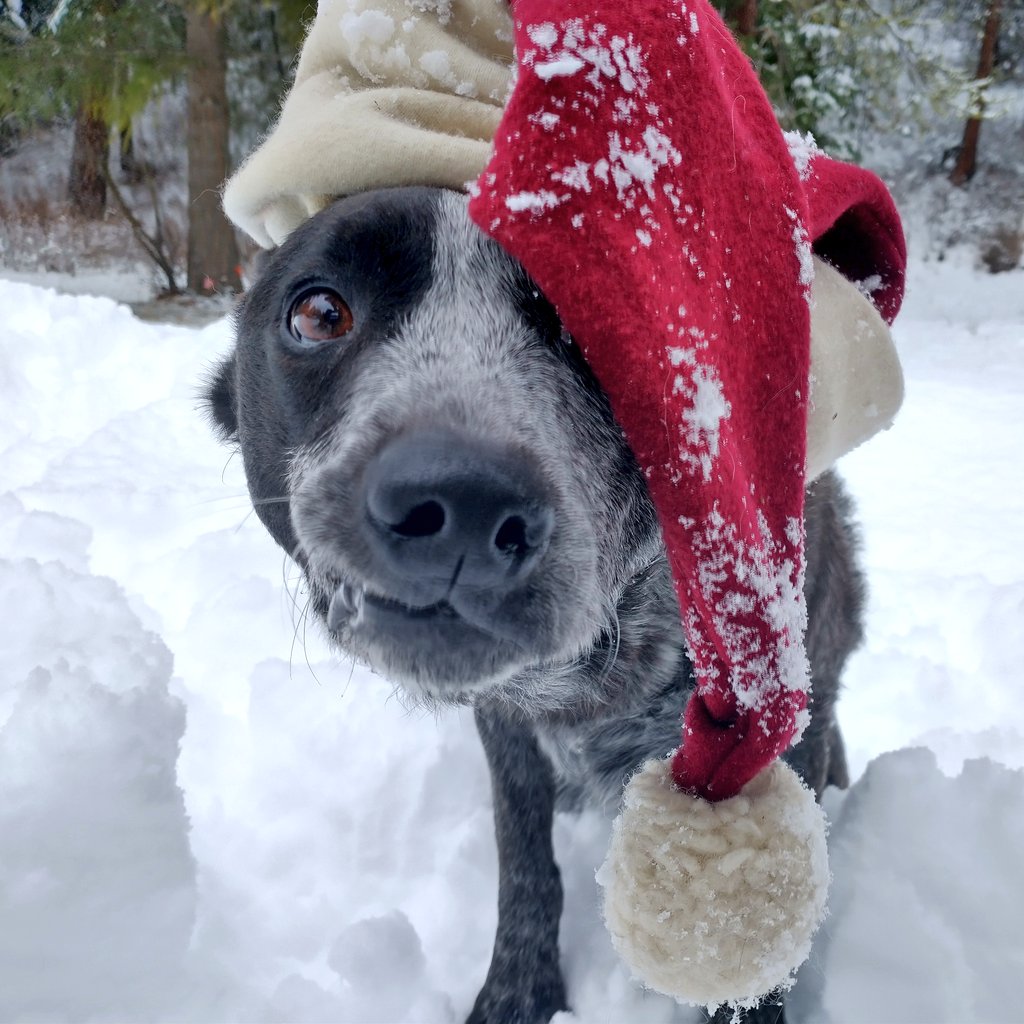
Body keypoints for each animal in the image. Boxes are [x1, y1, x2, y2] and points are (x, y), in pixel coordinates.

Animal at [207, 186, 864, 1024]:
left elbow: (754, 962)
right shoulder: (507, 734)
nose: (462, 499)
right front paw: (516, 995)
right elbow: (525, 863)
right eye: (319, 314)